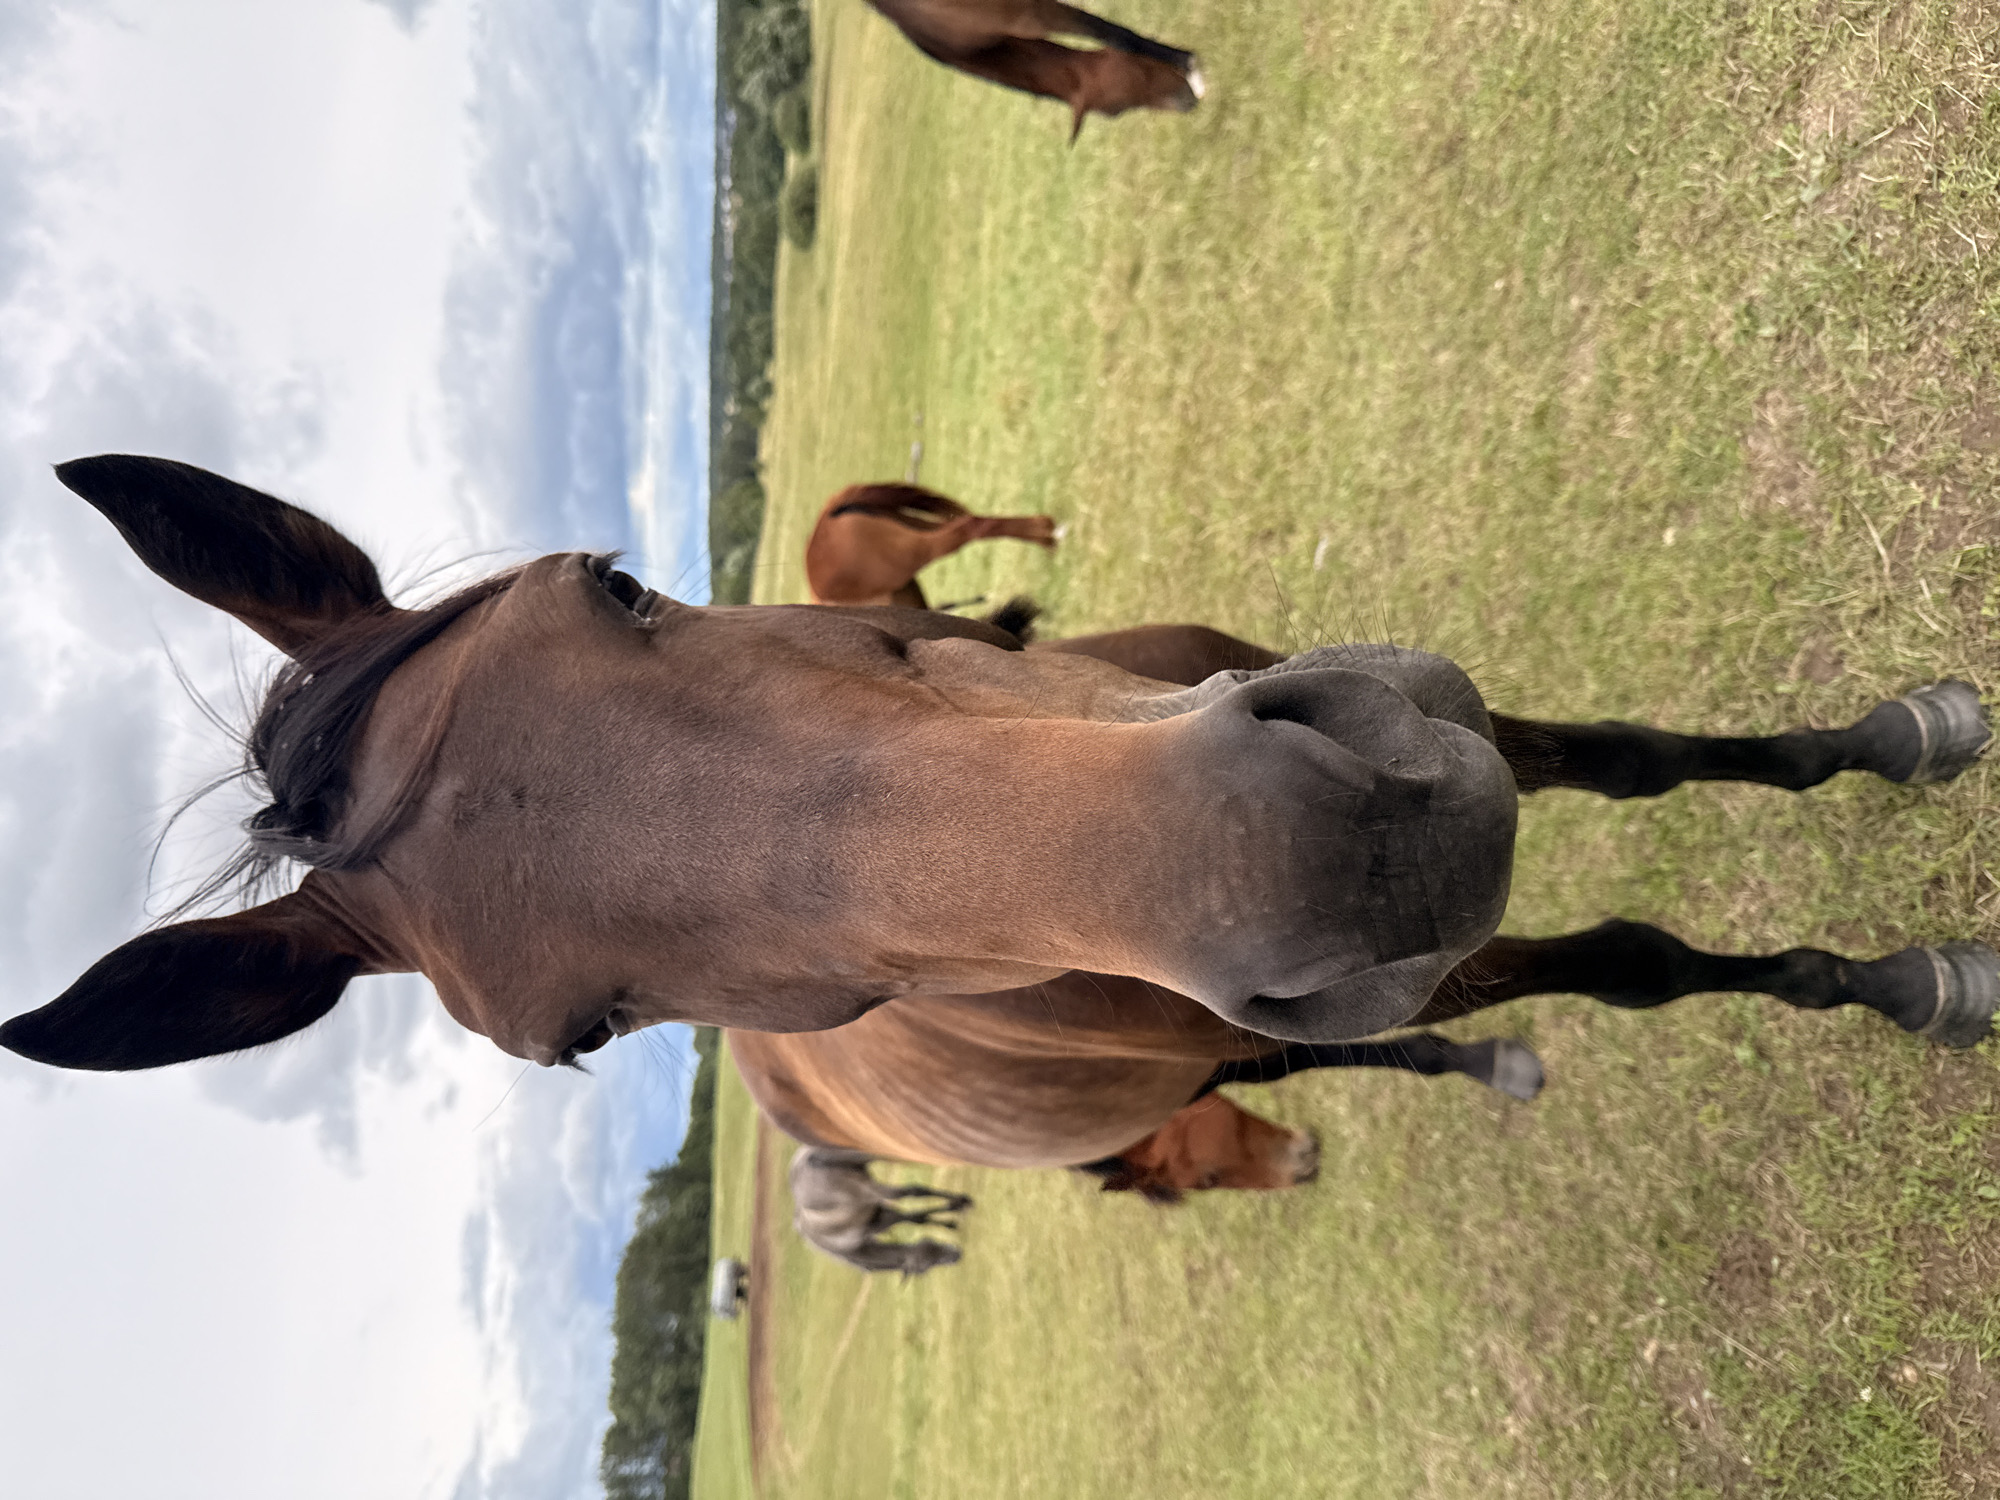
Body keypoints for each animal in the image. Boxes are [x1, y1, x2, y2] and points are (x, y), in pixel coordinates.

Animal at [789, 1146, 973, 1275]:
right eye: (927, 1265)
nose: (957, 1256)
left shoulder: (877, 1207)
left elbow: (915, 1201)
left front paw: (957, 1206)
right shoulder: (879, 1217)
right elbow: (916, 1218)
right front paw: (951, 1219)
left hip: (870, 1182)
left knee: (912, 1181)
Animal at [864, 0, 1204, 142]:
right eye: (1117, 110)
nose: (1188, 102)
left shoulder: (1031, 12)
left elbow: (1111, 33)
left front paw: (1192, 65)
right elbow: (1112, 34)